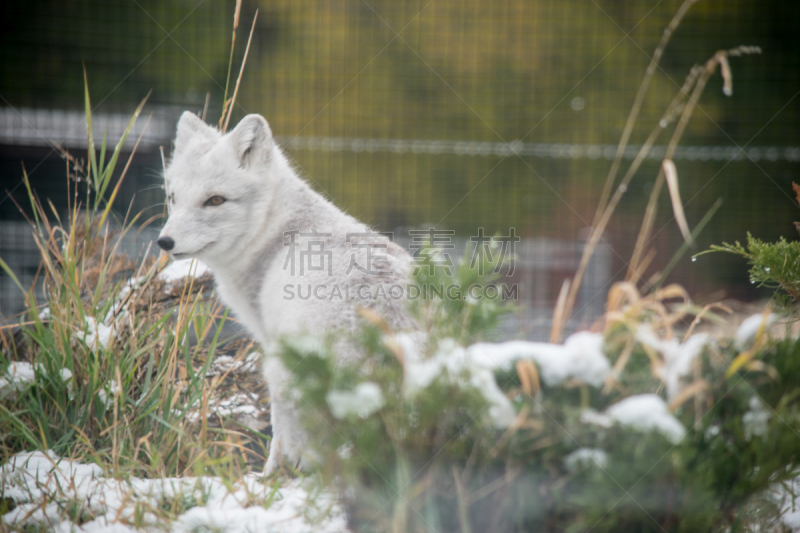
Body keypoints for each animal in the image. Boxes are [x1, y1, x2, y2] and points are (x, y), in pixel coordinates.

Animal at [159, 112, 416, 470]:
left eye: (215, 200)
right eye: (173, 197)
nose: (164, 242)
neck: (273, 229)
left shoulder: (268, 336)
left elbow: (281, 438)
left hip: (280, 371)